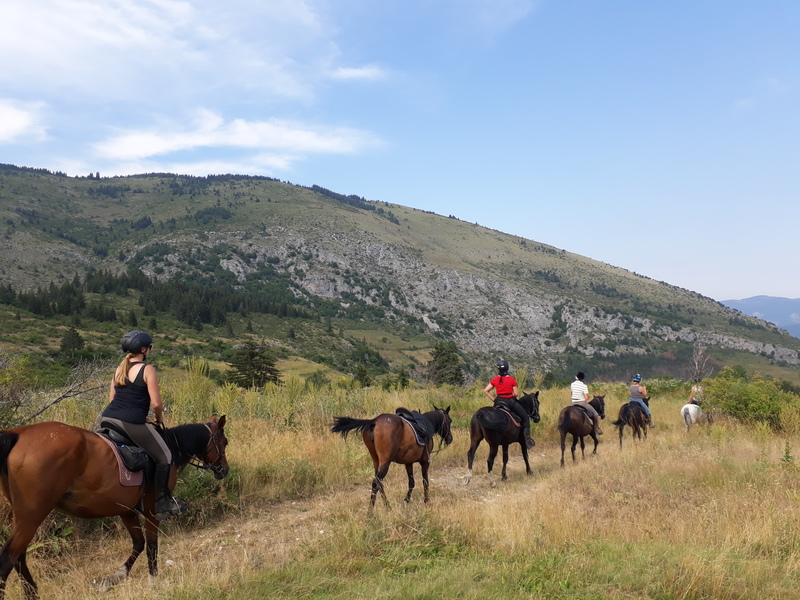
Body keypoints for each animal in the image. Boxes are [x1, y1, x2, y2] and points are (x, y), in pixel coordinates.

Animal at [0, 414, 228, 596]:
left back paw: (32, 593)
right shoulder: (152, 511)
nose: (224, 470)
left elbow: (138, 544)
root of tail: (18, 434)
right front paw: (154, 580)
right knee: (8, 559)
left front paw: (114, 577)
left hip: (24, 516)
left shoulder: (127, 511)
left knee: (19, 557)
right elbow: (152, 546)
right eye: (224, 442)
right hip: (32, 514)